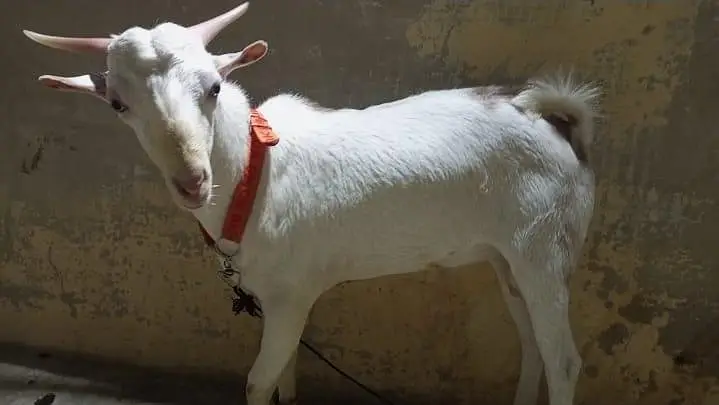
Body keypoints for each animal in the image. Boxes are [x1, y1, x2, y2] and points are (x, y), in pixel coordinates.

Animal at [23, 3, 601, 405]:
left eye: (214, 87)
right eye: (117, 104)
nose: (192, 181)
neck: (252, 172)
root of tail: (552, 118)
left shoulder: (291, 294)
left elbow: (259, 381)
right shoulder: (276, 296)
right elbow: (286, 376)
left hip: (545, 246)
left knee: (563, 359)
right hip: (507, 256)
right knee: (530, 343)